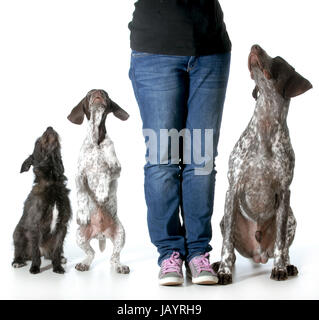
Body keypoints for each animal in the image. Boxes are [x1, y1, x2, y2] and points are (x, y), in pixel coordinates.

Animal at [12, 126, 72, 274]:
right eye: (37, 141)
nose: (49, 127)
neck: (52, 183)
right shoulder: (35, 226)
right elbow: (35, 252)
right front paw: (35, 267)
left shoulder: (62, 226)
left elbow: (57, 249)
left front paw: (57, 267)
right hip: (17, 234)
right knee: (19, 251)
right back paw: (18, 261)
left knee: (51, 253)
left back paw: (60, 258)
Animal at [68, 89, 131, 272]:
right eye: (89, 94)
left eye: (105, 94)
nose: (97, 92)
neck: (96, 139)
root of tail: (100, 234)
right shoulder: (79, 175)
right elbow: (81, 194)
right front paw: (82, 214)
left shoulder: (116, 168)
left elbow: (104, 171)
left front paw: (102, 193)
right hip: (80, 235)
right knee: (91, 253)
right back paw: (83, 264)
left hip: (120, 234)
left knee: (114, 257)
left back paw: (120, 267)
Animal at [214, 43, 314, 284]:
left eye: (278, 60)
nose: (254, 46)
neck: (266, 123)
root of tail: (258, 254)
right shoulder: (233, 188)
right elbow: (227, 245)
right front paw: (224, 271)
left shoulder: (285, 192)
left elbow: (280, 243)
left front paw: (279, 268)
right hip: (224, 218)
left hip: (292, 219)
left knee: (285, 248)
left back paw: (288, 266)